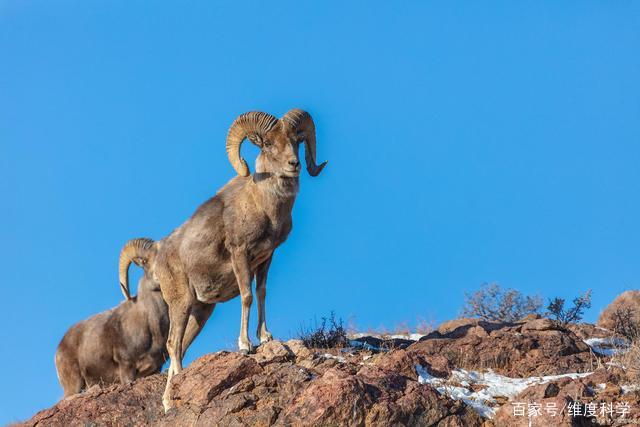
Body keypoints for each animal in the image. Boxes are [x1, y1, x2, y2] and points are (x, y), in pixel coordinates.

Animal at [145, 109, 324, 412]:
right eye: (267, 143)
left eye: (296, 140)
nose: (294, 164)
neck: (265, 206)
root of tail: (159, 257)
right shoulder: (240, 255)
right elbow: (247, 297)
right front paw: (245, 345)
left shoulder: (266, 258)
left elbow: (261, 293)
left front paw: (265, 337)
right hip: (180, 304)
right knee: (172, 345)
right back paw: (177, 389)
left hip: (200, 312)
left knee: (180, 346)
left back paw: (169, 403)